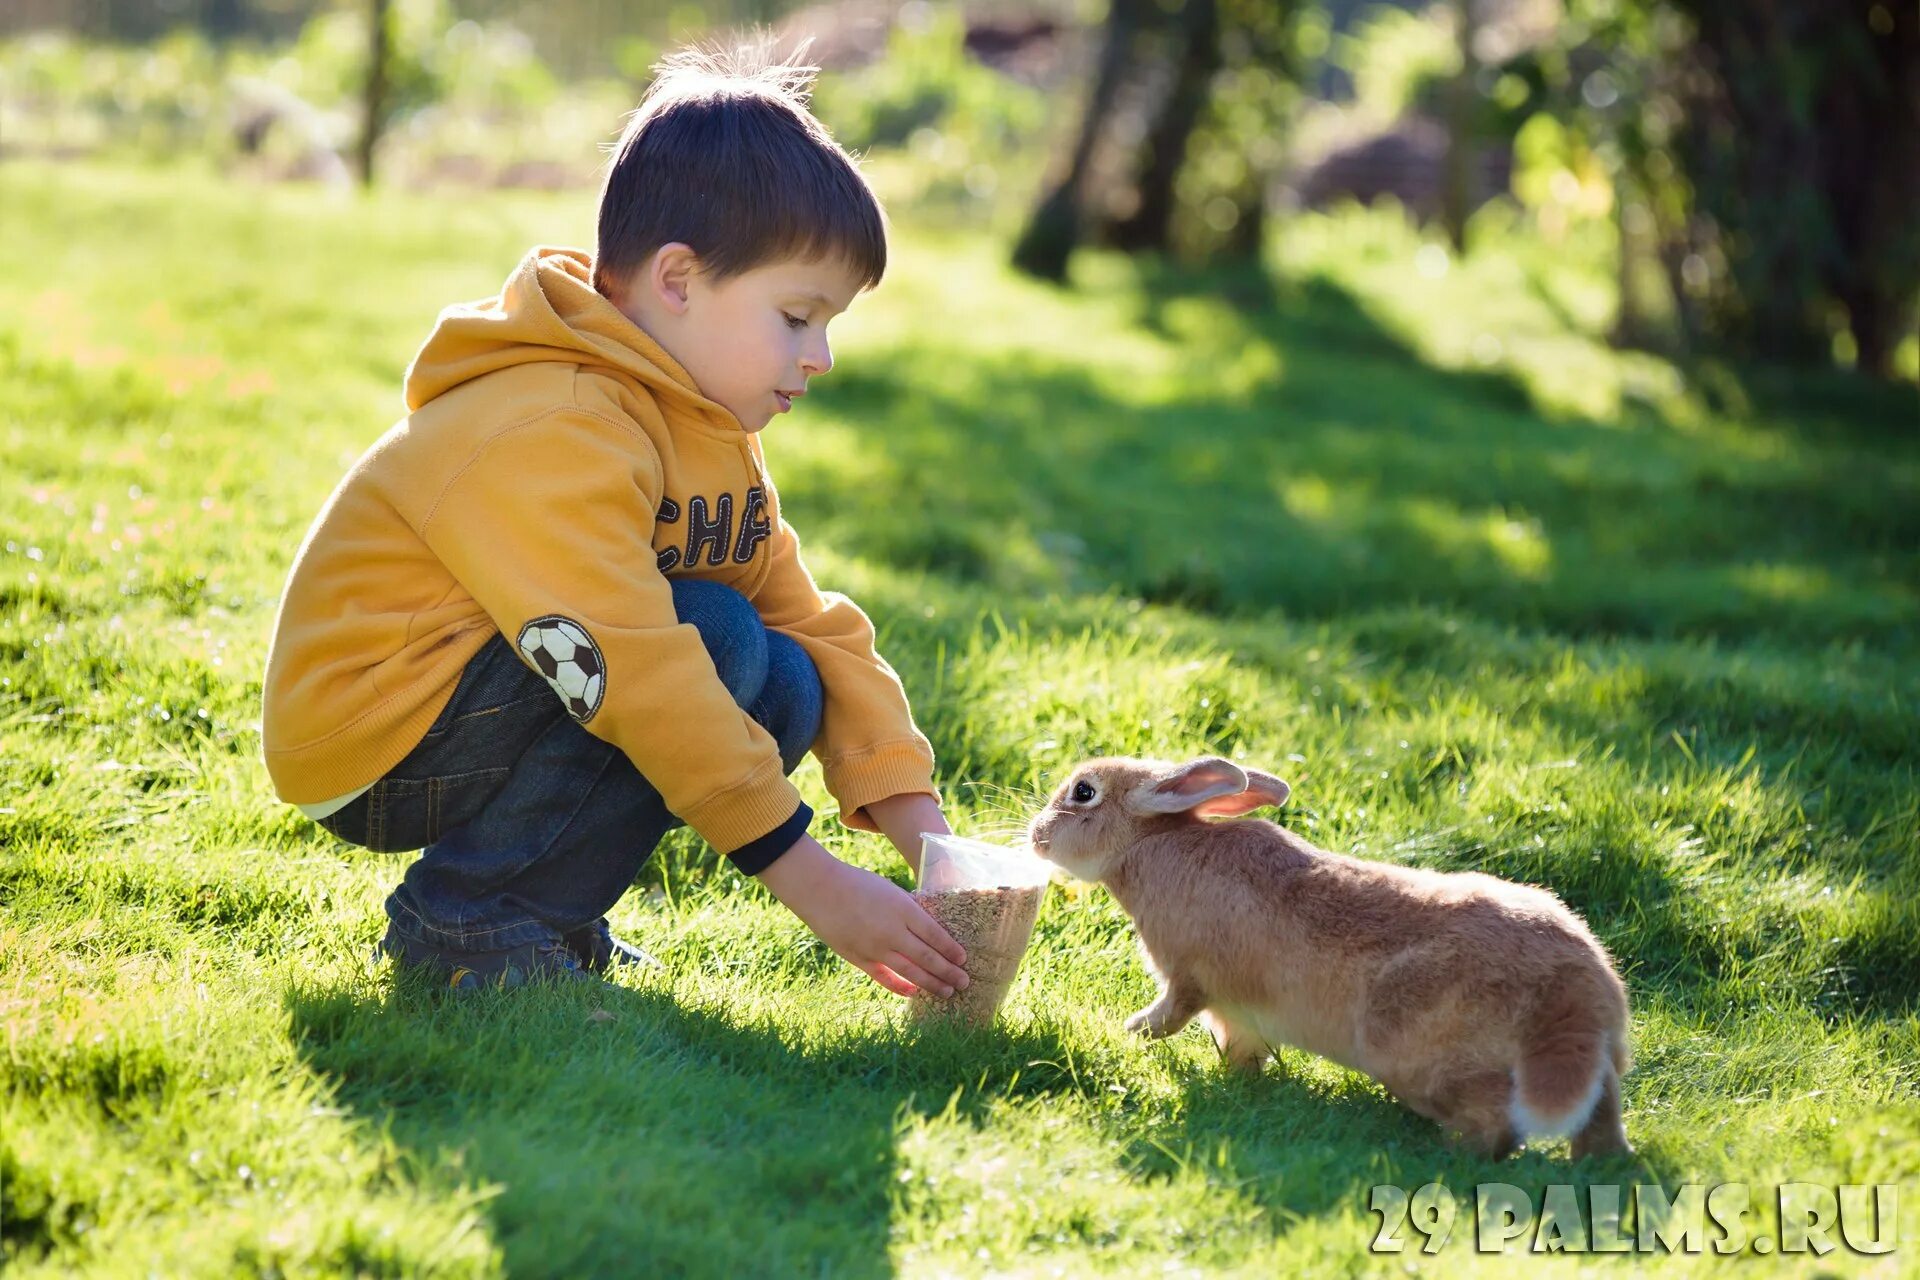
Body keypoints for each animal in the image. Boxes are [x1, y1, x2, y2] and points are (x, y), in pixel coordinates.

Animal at [1036, 756, 1635, 1159]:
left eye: (1084, 792)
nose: (1037, 835)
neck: (1148, 844)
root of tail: (1579, 993)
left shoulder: (1192, 980)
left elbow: (1172, 1013)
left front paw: (1129, 1030)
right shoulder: (1239, 1012)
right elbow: (1242, 1049)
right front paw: (1241, 1084)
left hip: (1422, 1054)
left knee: (1495, 1123)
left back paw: (1445, 1153)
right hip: (1595, 1072)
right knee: (1598, 1114)